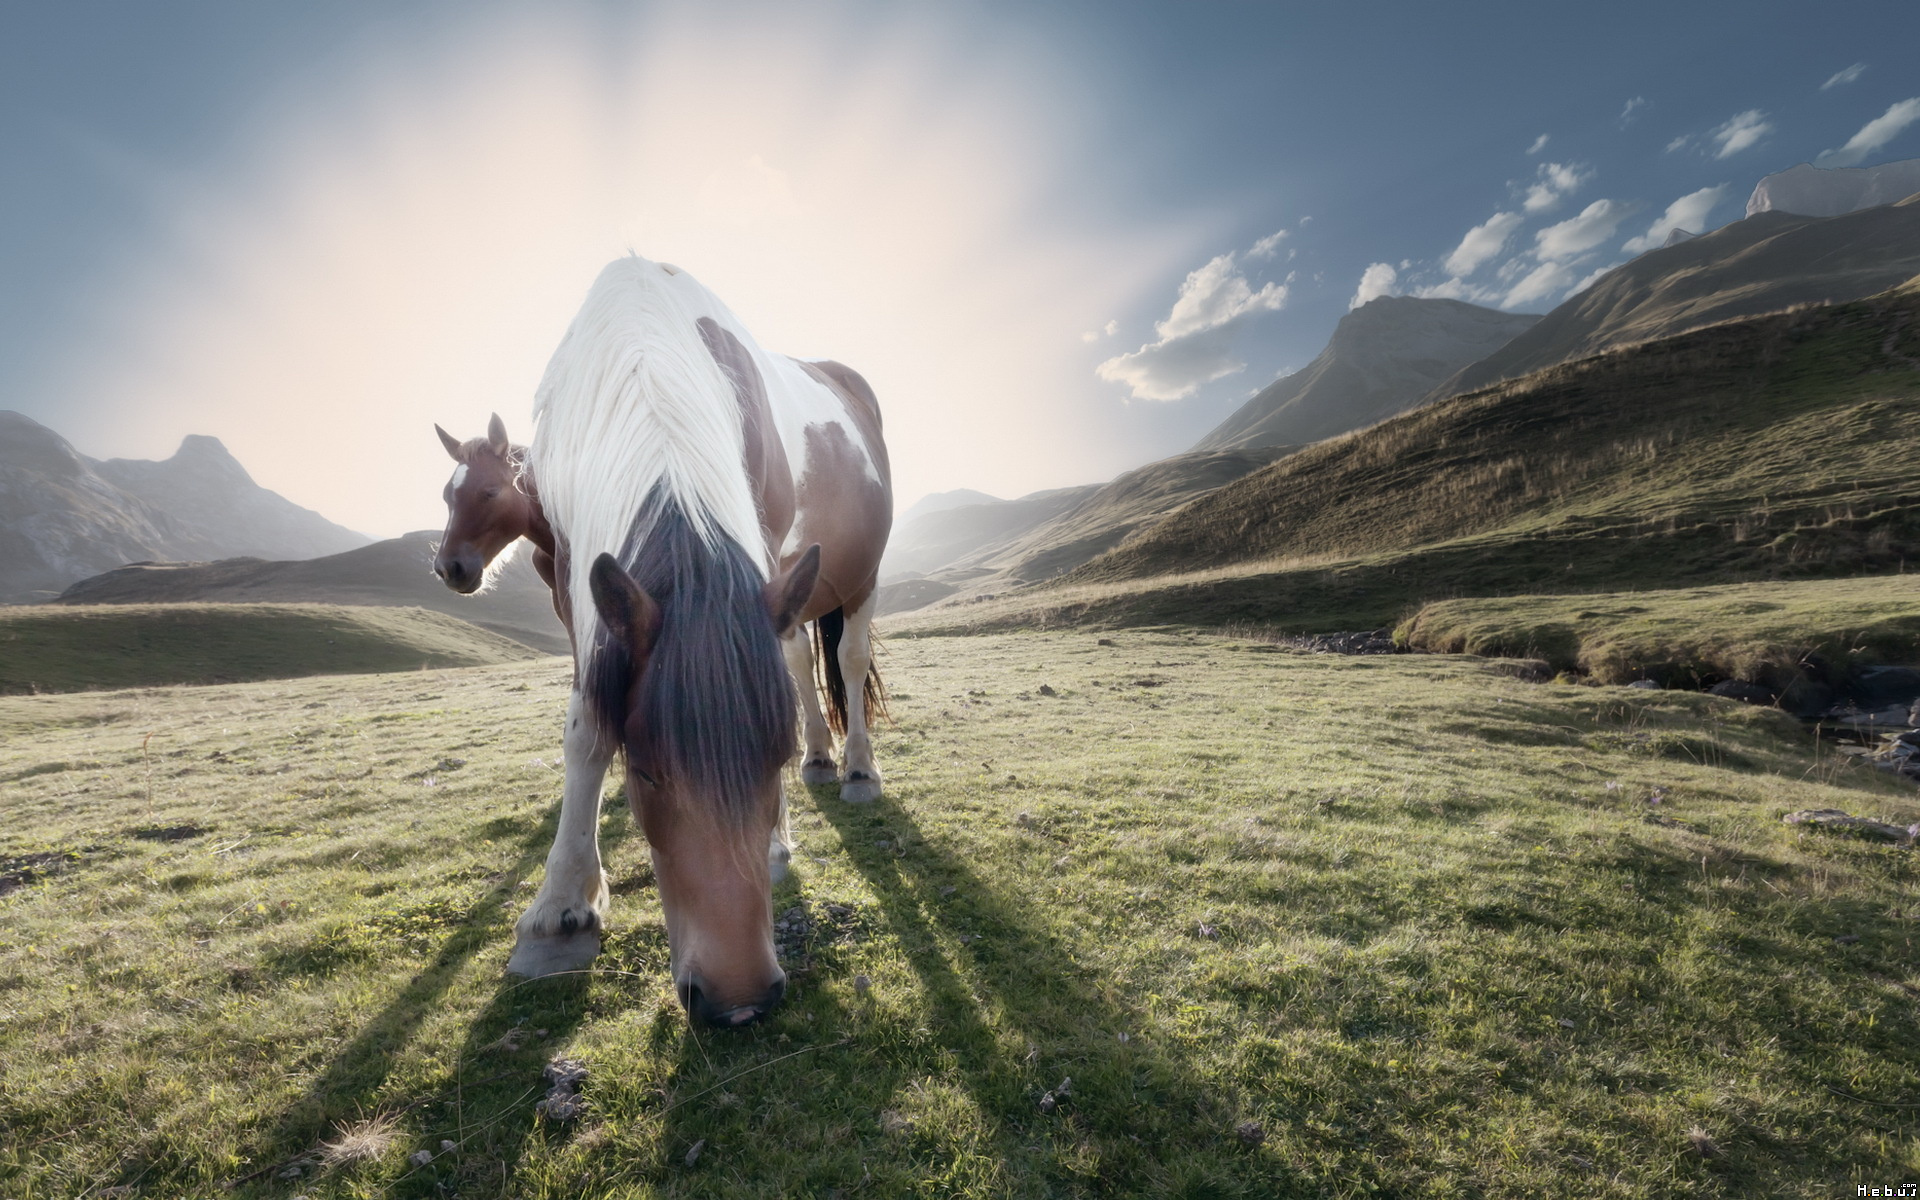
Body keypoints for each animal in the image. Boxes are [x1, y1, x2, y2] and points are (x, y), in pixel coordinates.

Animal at [432, 255, 887, 1021]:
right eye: (642, 772)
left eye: (489, 493)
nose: (738, 999)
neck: (643, 361)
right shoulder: (577, 589)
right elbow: (587, 726)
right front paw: (562, 907)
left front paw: (776, 842)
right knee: (800, 660)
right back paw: (823, 759)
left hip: (859, 578)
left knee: (848, 661)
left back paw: (855, 768)